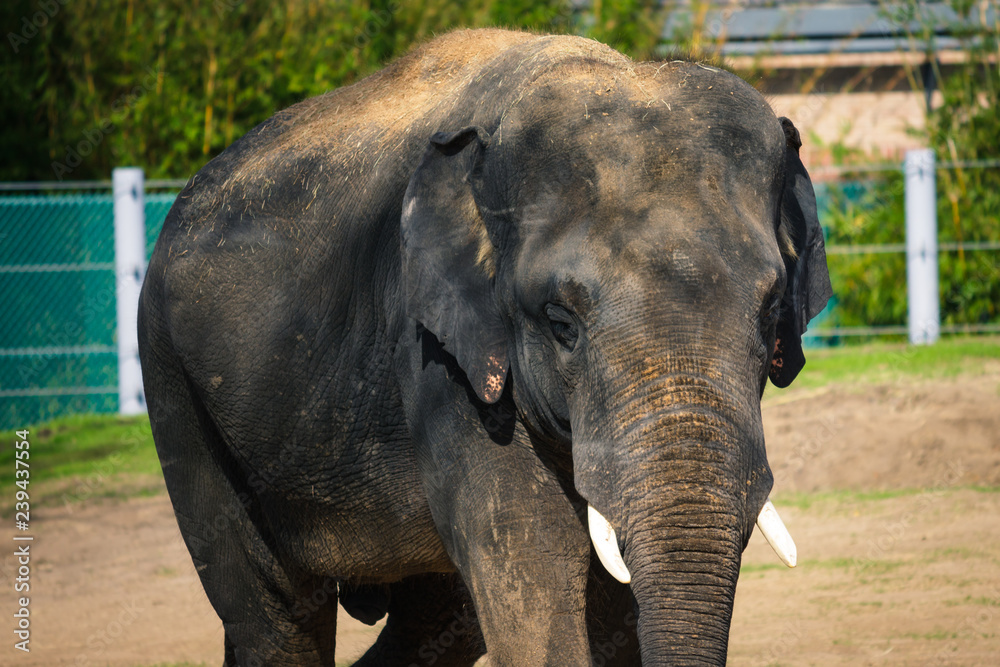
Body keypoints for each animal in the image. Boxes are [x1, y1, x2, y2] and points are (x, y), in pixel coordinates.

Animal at [138, 28, 831, 666]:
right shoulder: (438, 350)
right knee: (274, 614)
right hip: (176, 383)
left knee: (434, 625)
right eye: (561, 322)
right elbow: (530, 574)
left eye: (771, 313)